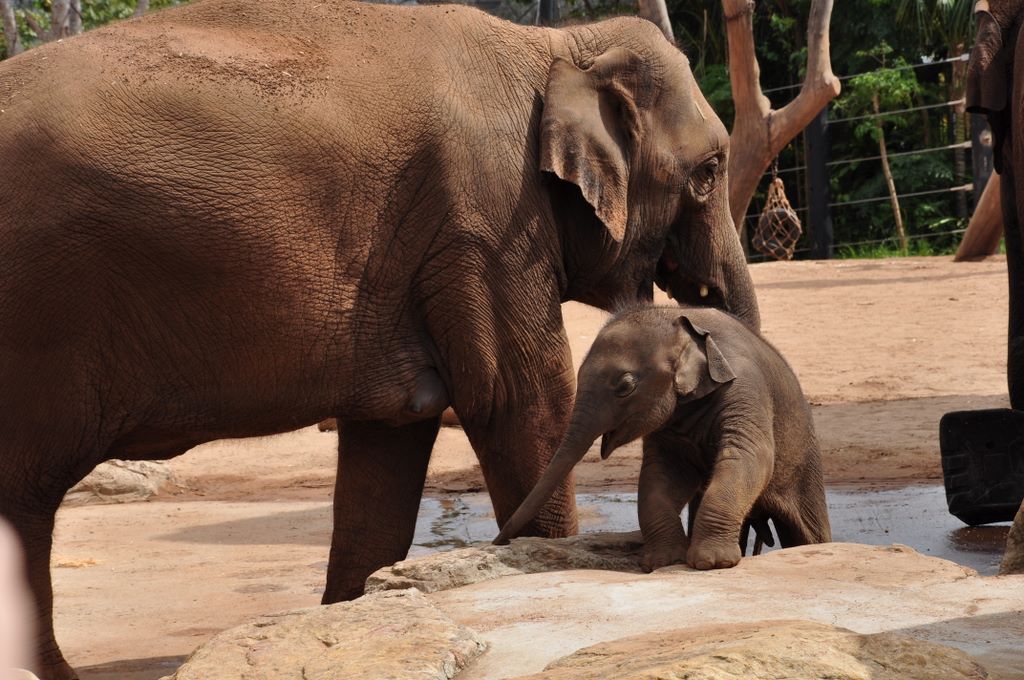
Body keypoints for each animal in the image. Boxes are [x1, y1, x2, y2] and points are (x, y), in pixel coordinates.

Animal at [0, 1, 760, 677]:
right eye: (708, 172)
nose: (755, 543)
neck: (555, 45)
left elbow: (391, 438)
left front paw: (349, 615)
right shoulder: (488, 225)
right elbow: (521, 404)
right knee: (25, 498)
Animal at [494, 305, 830, 571]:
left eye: (625, 386)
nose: (498, 542)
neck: (681, 322)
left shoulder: (746, 388)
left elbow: (748, 456)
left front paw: (712, 562)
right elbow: (662, 474)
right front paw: (664, 561)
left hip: (805, 464)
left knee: (808, 531)